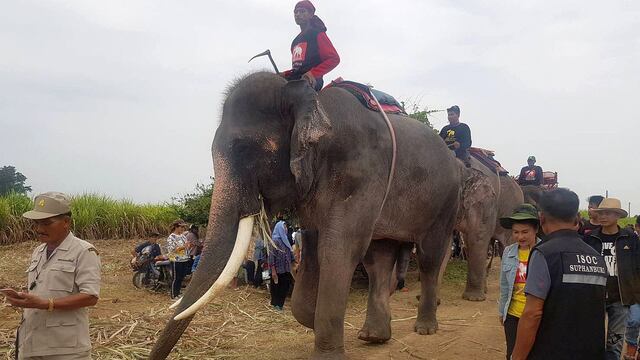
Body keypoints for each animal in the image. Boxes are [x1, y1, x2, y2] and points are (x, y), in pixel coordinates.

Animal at [148, 72, 462, 360]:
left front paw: (327, 350)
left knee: (430, 256)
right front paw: (311, 318)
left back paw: (424, 328)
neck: (311, 99)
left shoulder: (362, 174)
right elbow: (313, 244)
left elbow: (338, 249)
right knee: (379, 260)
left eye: (245, 148)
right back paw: (373, 336)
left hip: (447, 201)